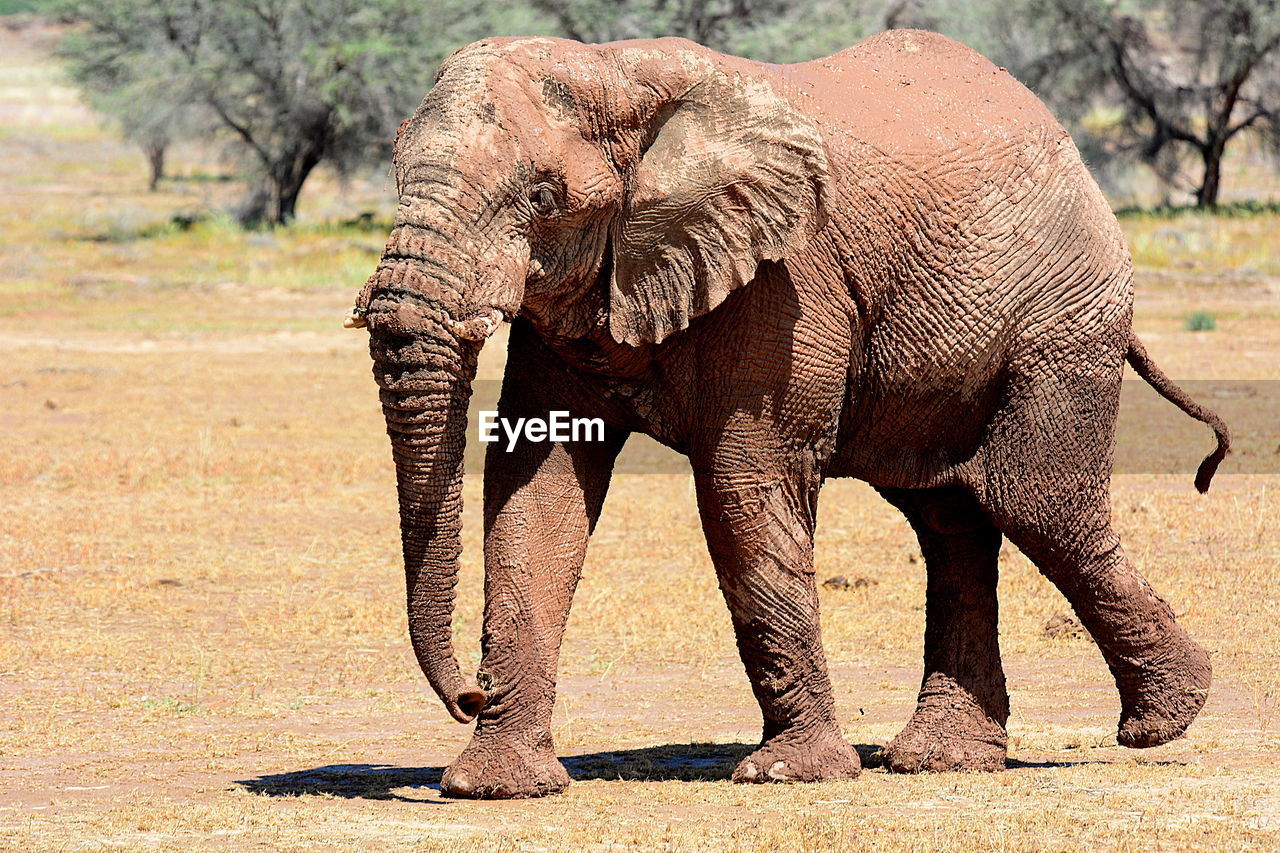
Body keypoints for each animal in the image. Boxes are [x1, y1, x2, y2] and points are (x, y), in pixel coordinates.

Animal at [343, 28, 1228, 799]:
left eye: (540, 195)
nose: (468, 692)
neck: (615, 71)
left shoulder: (786, 276)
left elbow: (743, 482)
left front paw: (789, 775)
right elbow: (537, 484)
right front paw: (495, 785)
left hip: (1064, 314)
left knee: (1036, 502)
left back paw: (1162, 720)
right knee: (951, 521)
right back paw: (946, 757)